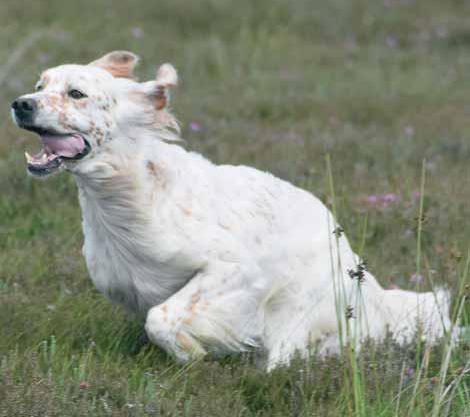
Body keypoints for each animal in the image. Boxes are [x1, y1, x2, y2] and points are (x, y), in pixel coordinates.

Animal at [11, 51, 453, 369]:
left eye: (76, 93)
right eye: (39, 85)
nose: (20, 104)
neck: (131, 196)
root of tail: (360, 275)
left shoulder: (237, 273)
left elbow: (161, 317)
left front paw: (193, 354)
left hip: (298, 316)